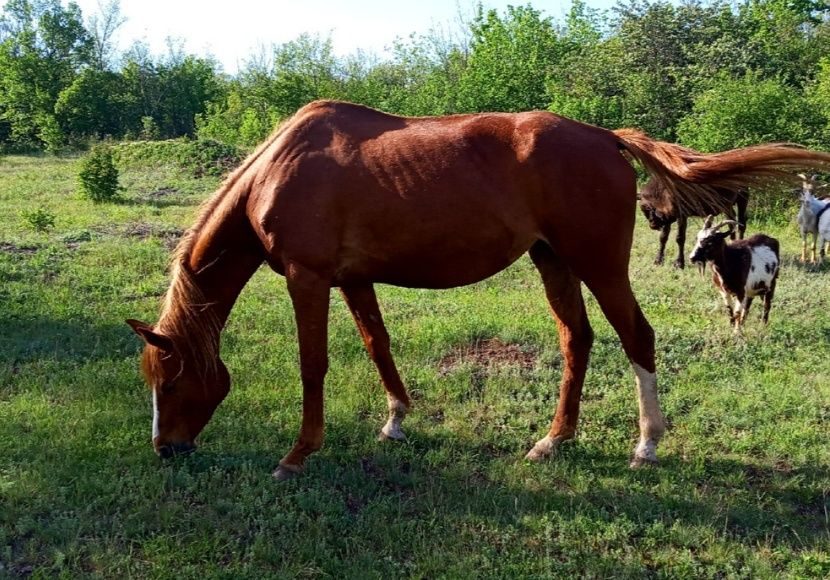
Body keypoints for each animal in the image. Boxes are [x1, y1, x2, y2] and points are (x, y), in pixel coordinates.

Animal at [125, 101, 830, 480]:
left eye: (171, 379)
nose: (165, 449)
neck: (280, 170)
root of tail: (606, 138)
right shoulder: (352, 279)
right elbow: (377, 344)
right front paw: (396, 420)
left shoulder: (310, 279)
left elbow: (314, 364)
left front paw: (298, 455)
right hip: (553, 262)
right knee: (578, 340)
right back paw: (554, 439)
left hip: (599, 265)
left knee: (637, 337)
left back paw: (647, 444)